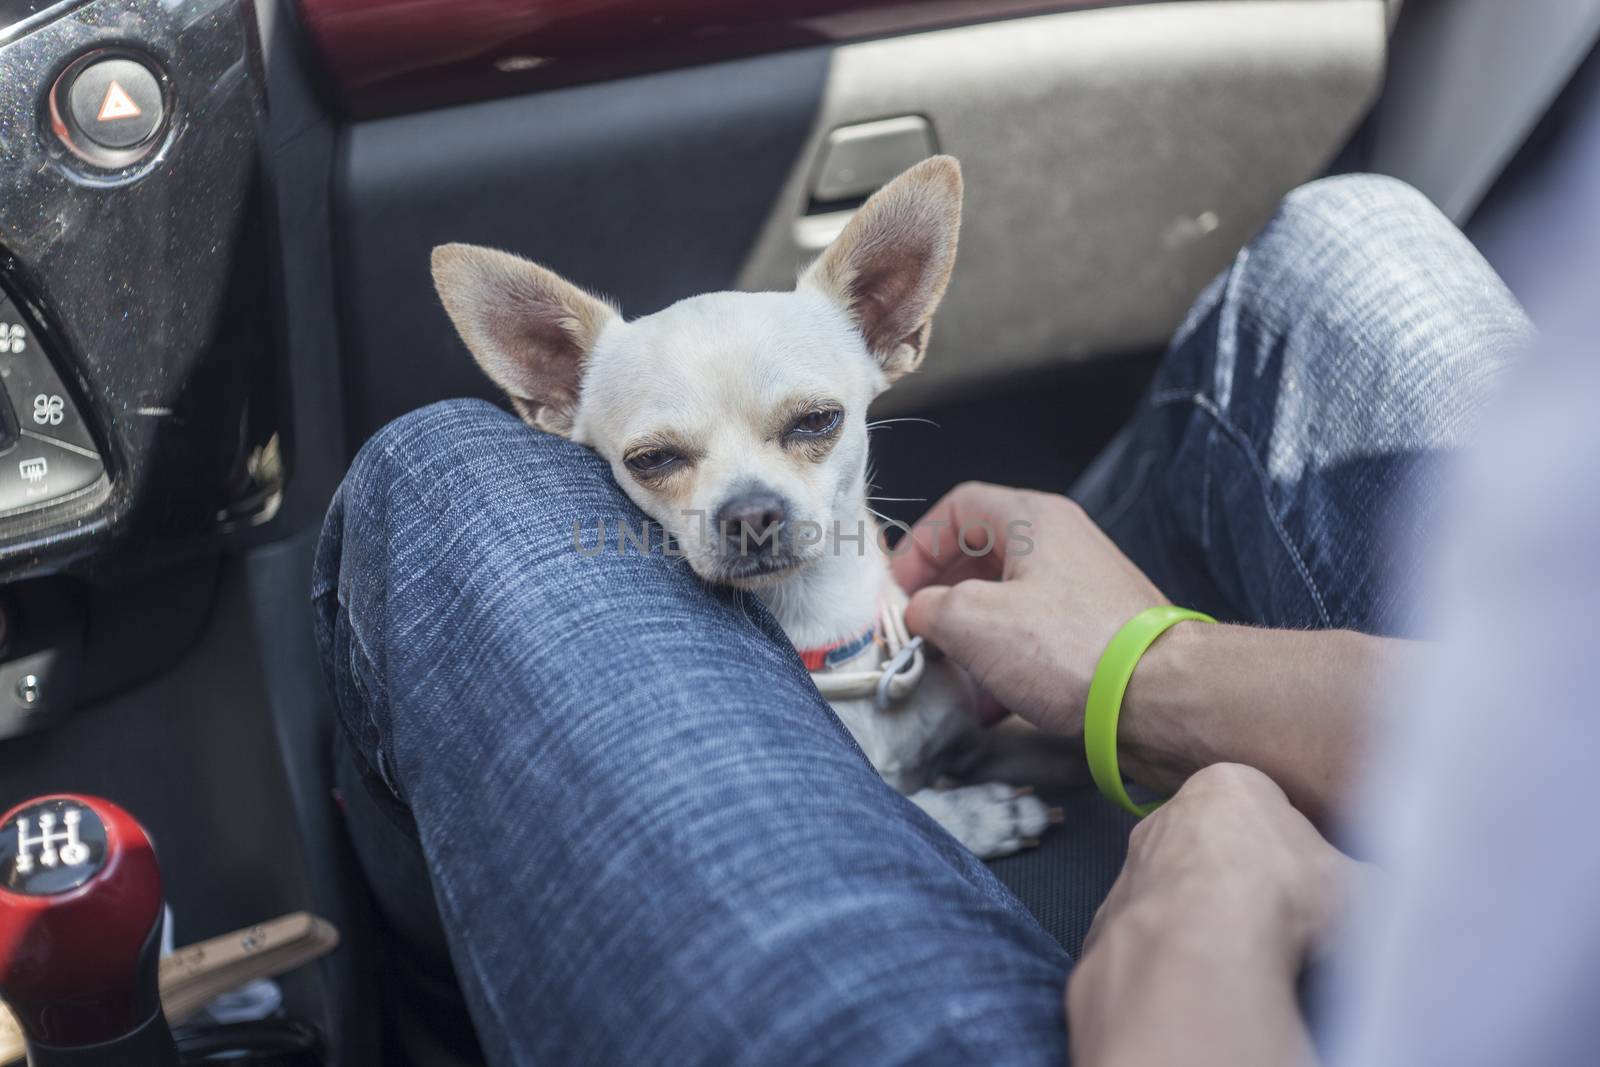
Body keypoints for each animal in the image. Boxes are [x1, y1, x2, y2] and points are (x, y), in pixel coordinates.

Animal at [435, 156, 1062, 857]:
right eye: (650, 459)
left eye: (817, 421)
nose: (751, 514)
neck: (820, 632)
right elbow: (925, 817)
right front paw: (981, 814)